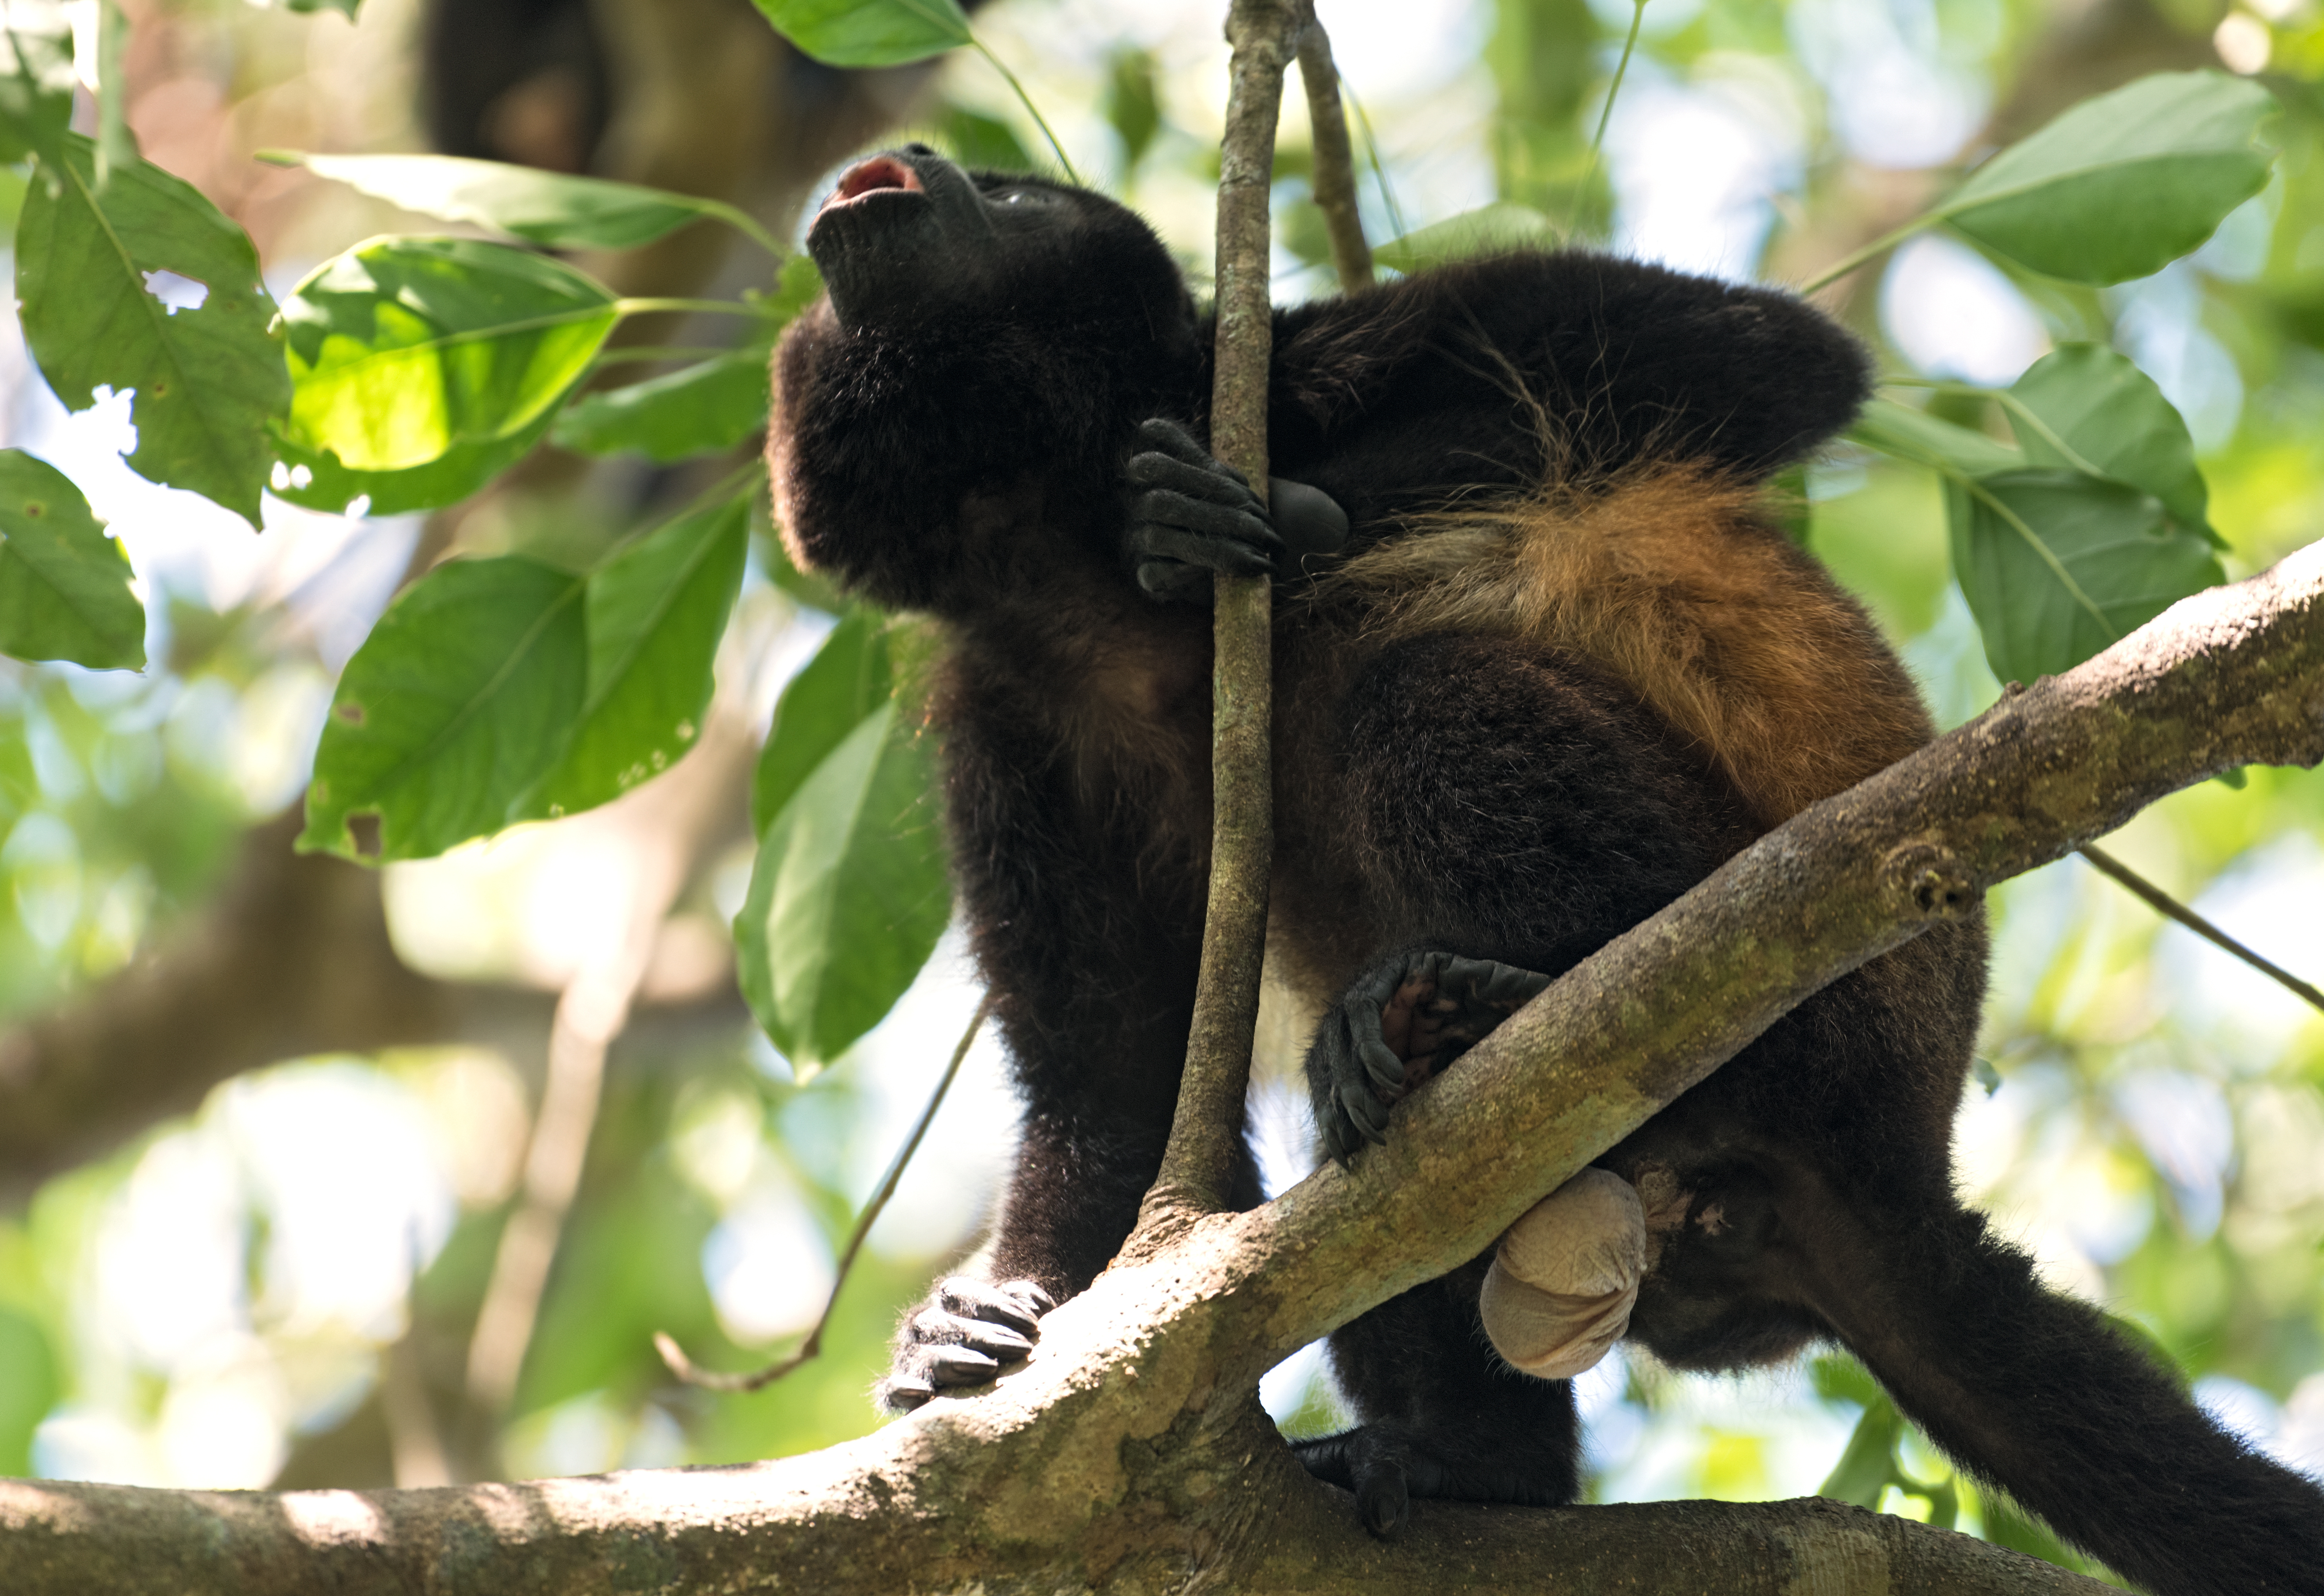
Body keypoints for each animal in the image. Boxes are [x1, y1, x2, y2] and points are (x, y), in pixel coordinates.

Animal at [767, 143, 2324, 1589]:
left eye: (1010, 192)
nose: (921, 159)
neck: (1048, 541)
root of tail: (1895, 1163)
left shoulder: (1306, 356)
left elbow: (1774, 359)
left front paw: (1239, 515)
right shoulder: (1002, 710)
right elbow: (1109, 1075)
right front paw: (982, 1321)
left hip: (1834, 1012)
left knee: (1425, 693)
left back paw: (1498, 990)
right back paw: (1462, 1451)